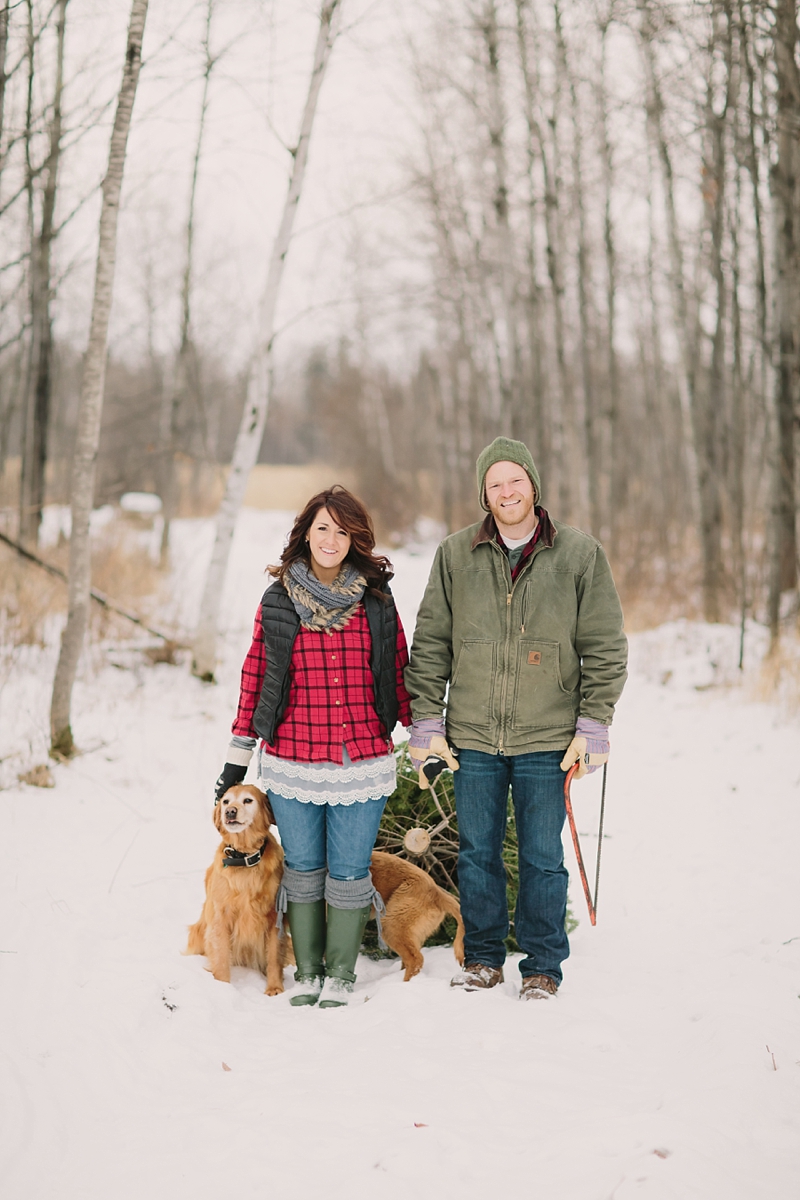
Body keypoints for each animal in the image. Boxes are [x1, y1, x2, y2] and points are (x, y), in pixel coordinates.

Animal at [185, 782, 292, 998]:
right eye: (226, 801)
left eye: (247, 800)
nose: (230, 812)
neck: (244, 857)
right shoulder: (221, 917)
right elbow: (221, 957)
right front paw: (223, 989)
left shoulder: (274, 917)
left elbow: (274, 956)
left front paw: (274, 988)